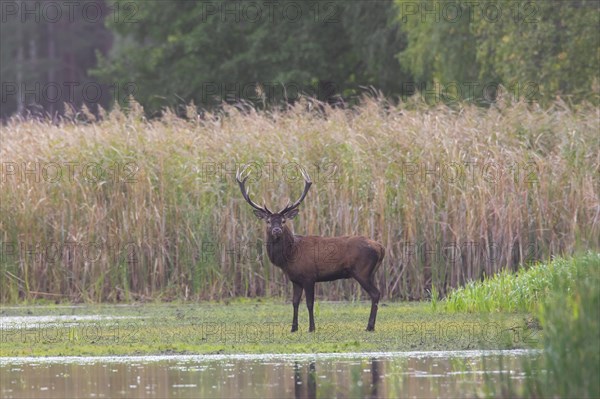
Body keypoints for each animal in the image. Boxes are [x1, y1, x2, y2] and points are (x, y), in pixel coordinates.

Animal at [236, 164, 384, 332]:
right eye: (268, 221)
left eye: (283, 221)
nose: (276, 230)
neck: (290, 256)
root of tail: (381, 247)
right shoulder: (295, 279)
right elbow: (294, 302)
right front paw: (293, 328)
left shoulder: (309, 276)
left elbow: (309, 303)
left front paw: (311, 328)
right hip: (371, 272)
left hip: (362, 271)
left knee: (375, 293)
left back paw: (369, 326)